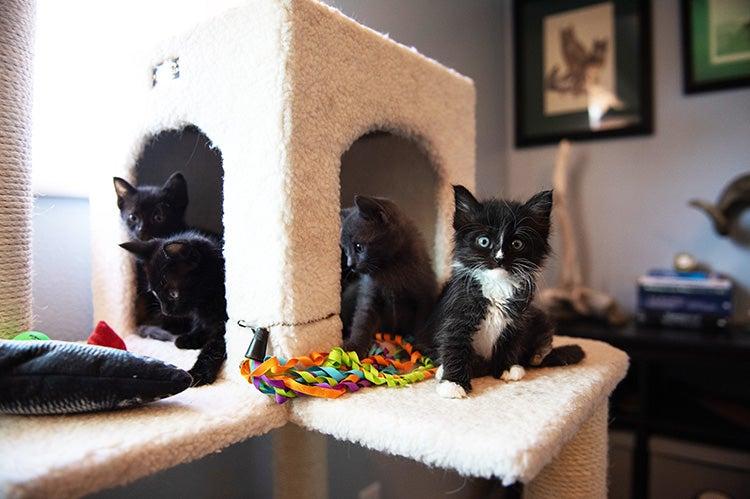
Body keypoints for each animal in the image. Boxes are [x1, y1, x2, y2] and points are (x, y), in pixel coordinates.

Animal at [118, 232, 226, 388]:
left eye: (173, 294)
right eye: (155, 293)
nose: (165, 311)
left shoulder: (223, 327)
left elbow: (214, 347)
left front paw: (199, 374)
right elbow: (200, 327)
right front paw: (189, 338)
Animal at [342, 196, 440, 360]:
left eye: (358, 247)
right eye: (345, 250)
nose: (350, 264)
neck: (390, 270)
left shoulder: (425, 297)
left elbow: (424, 324)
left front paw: (421, 347)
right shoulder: (369, 294)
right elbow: (362, 321)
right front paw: (354, 347)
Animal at [432, 186, 584, 400]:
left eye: (517, 244)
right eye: (484, 241)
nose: (499, 258)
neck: (498, 286)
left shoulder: (518, 317)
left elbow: (511, 340)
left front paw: (507, 367)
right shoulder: (458, 313)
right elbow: (455, 345)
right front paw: (453, 383)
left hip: (538, 315)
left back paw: (538, 355)